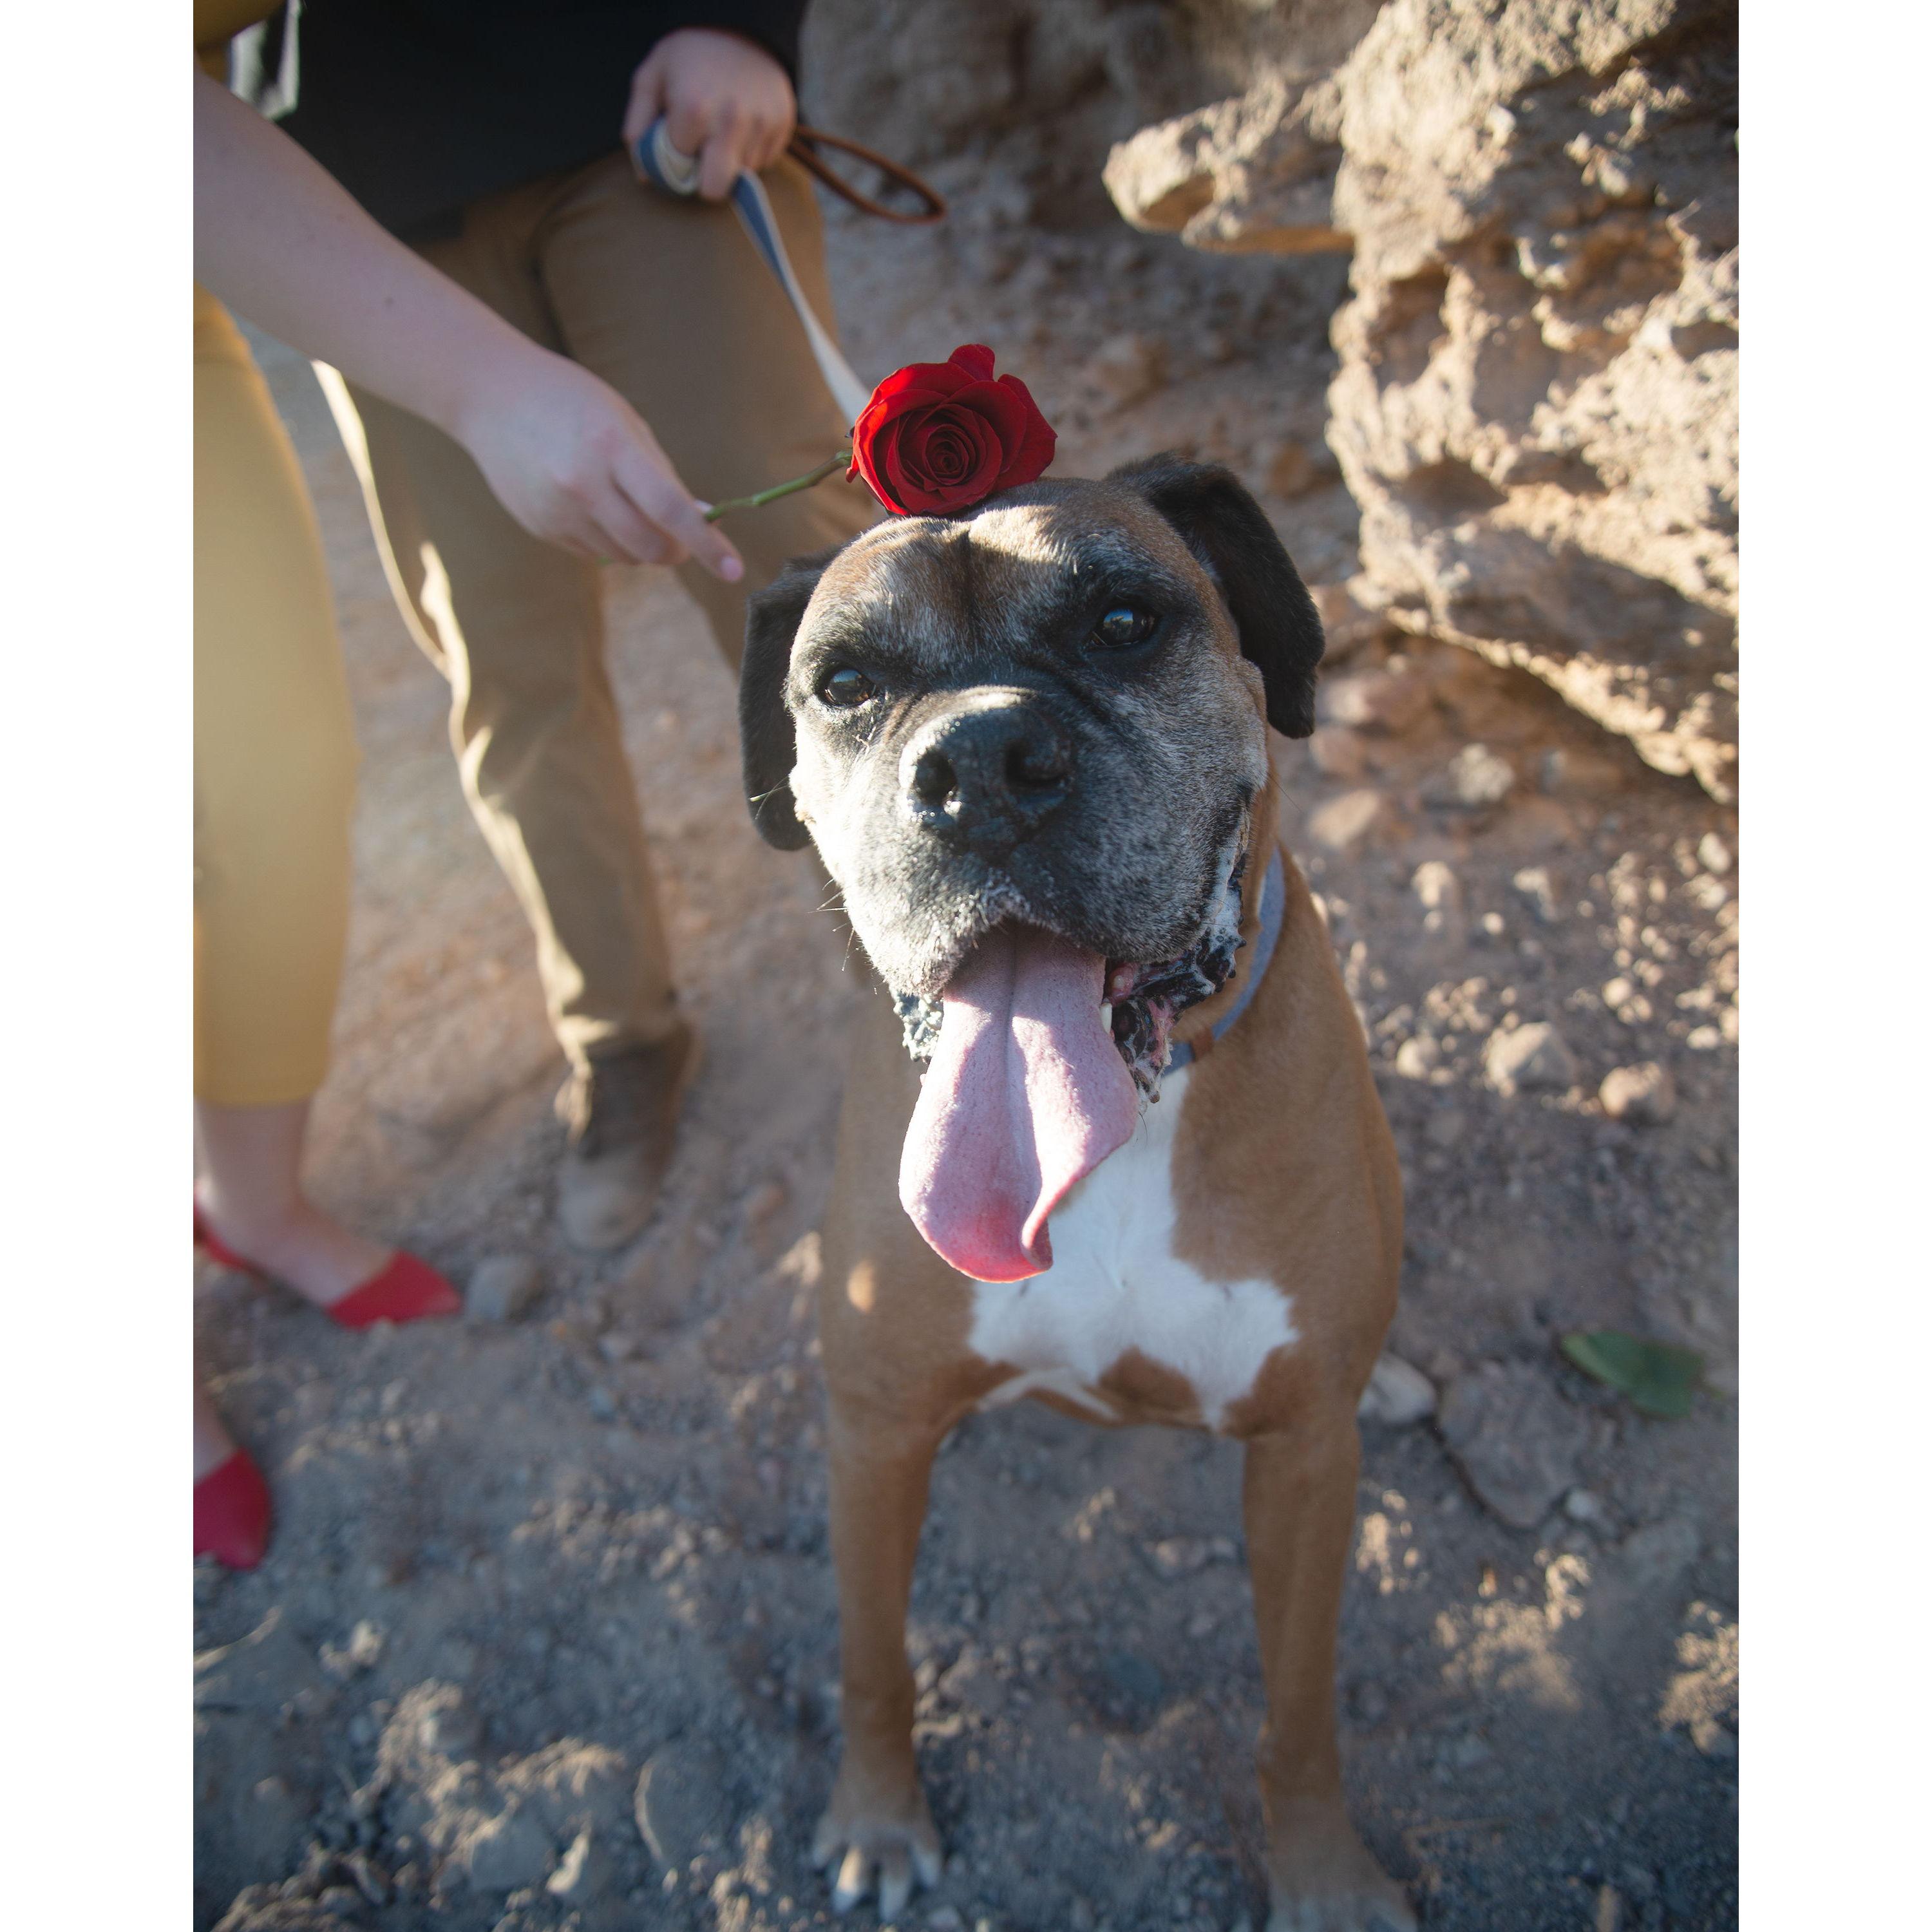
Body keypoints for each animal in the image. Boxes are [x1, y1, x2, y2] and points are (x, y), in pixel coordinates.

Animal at [738, 456, 1415, 1931]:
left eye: (1122, 621)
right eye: (846, 680)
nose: (981, 764)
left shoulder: (1303, 1458)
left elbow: (1300, 1711)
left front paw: (1325, 1876)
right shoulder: (874, 1434)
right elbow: (873, 1655)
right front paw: (877, 1818)